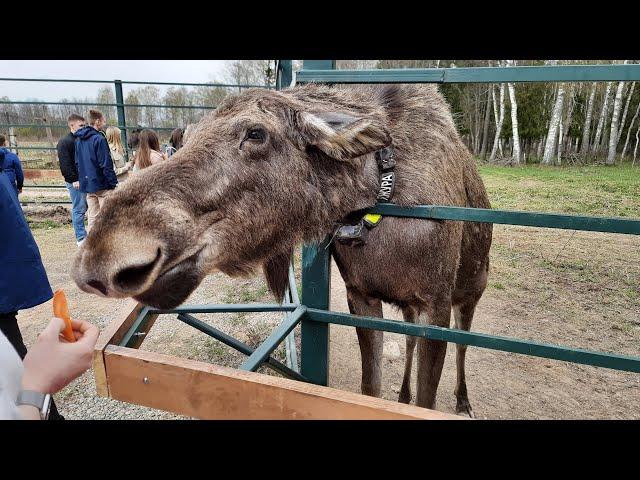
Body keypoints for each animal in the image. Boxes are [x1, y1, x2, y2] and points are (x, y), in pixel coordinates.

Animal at [75, 83, 496, 416]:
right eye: (188, 135)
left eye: (256, 133)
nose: (101, 256)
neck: (378, 198)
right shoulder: (361, 296)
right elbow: (371, 388)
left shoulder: (435, 302)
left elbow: (429, 396)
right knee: (408, 342)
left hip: (471, 288)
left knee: (463, 343)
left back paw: (463, 400)